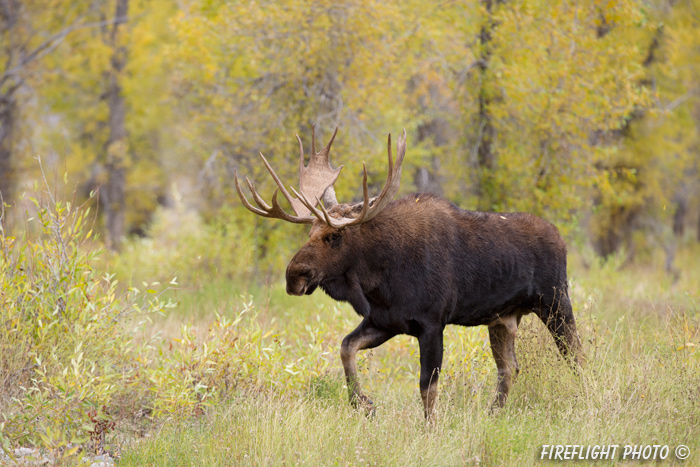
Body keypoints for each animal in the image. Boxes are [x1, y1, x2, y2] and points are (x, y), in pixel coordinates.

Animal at [232, 127, 584, 416]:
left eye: (335, 236)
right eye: (309, 233)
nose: (294, 276)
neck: (378, 278)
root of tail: (562, 240)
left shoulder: (432, 324)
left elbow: (427, 389)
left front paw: (429, 431)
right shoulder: (385, 321)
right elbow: (346, 348)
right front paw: (363, 403)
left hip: (555, 303)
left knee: (576, 357)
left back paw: (584, 402)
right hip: (502, 319)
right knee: (509, 368)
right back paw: (492, 415)